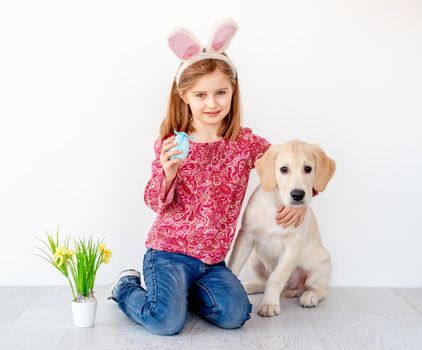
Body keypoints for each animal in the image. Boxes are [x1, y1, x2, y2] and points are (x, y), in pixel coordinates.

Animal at [227, 140, 336, 318]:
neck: (278, 203)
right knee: (264, 282)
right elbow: (233, 267)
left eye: (308, 168)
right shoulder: (246, 236)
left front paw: (269, 304)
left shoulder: (293, 245)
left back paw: (310, 296)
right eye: (283, 169)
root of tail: (291, 289)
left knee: (320, 289)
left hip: (320, 267)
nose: (298, 194)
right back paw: (249, 285)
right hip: (254, 261)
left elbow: (277, 277)